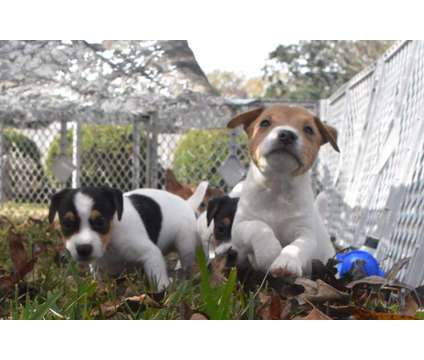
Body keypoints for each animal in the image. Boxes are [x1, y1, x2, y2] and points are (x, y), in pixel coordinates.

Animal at [48, 184, 208, 292]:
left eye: (100, 222)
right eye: (67, 224)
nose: (83, 249)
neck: (110, 242)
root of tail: (187, 203)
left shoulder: (150, 253)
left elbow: (158, 278)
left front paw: (164, 291)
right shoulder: (97, 267)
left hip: (185, 244)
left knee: (186, 261)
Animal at [222, 105, 342, 278]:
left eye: (308, 129)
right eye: (265, 123)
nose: (287, 135)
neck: (277, 188)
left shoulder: (306, 233)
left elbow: (297, 245)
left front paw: (286, 262)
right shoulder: (239, 228)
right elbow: (259, 227)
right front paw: (269, 254)